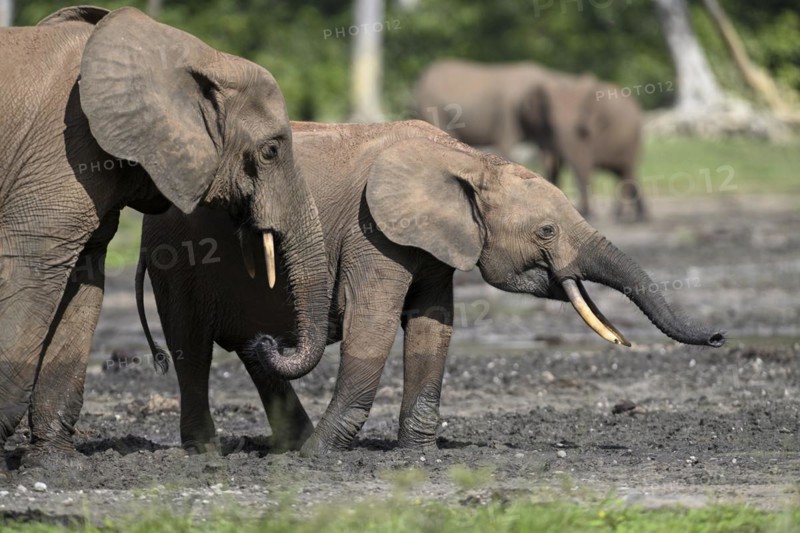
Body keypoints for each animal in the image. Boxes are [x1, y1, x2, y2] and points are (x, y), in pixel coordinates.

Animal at [0, 7, 329, 467]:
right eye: (271, 151)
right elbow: (31, 268)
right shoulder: (63, 152)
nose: (268, 341)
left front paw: (56, 464)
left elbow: (83, 282)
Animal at [136, 120, 724, 457]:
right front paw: (319, 459)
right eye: (546, 232)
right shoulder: (373, 230)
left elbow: (432, 327)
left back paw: (286, 437)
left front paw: (418, 454)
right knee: (191, 348)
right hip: (176, 259)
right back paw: (209, 452)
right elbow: (373, 326)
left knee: (251, 356)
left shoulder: (434, 239)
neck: (467, 158)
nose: (718, 336)